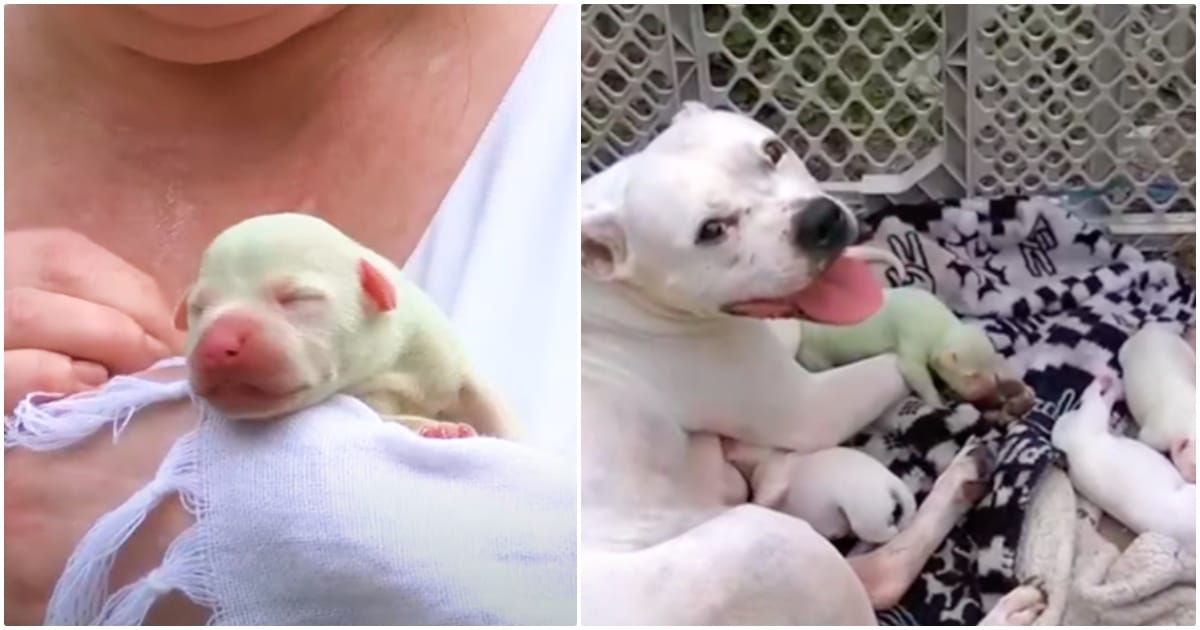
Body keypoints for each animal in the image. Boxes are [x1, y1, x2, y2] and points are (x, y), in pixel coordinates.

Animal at [796, 286, 1003, 405]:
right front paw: (936, 402)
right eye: (972, 375)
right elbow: (914, 371)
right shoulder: (914, 339)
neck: (943, 327)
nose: (992, 388)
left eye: (991, 367)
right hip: (816, 357)